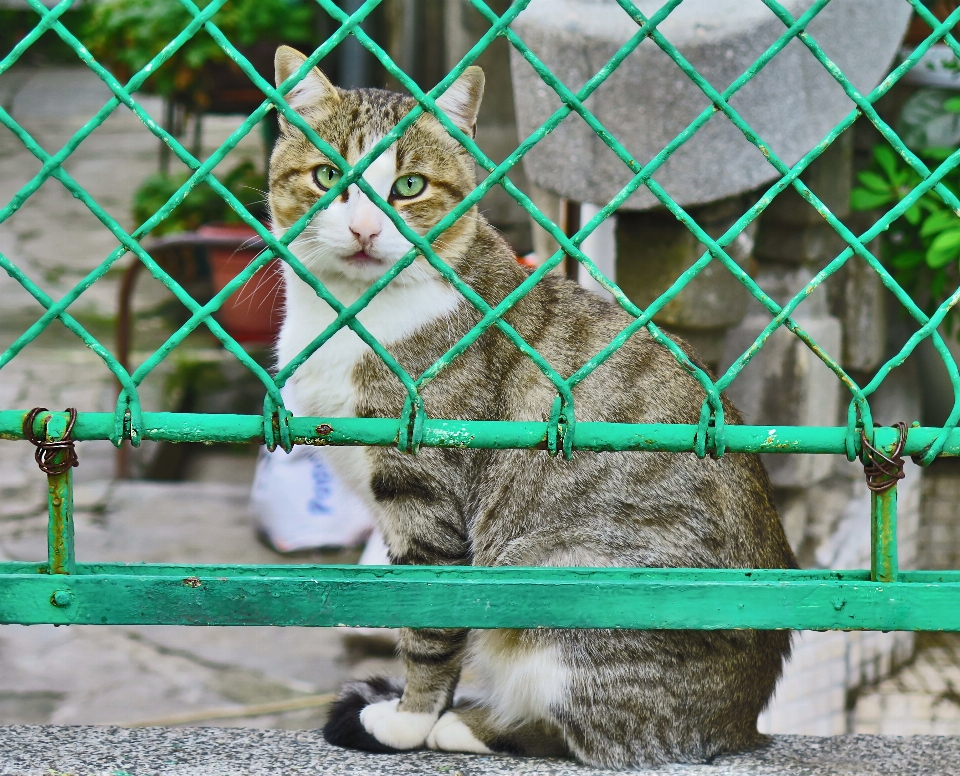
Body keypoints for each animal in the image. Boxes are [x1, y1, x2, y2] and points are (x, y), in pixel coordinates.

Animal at [268, 45, 796, 768]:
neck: (350, 314)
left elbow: (427, 631)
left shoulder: (425, 498)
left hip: (559, 582)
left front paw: (407, 721)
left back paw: (469, 725)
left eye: (409, 186)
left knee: (592, 734)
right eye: (326, 176)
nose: (365, 227)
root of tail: (743, 719)